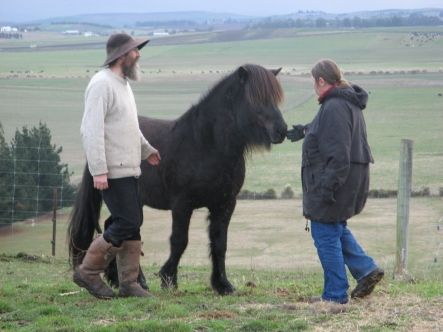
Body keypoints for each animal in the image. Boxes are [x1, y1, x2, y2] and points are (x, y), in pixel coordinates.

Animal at [67, 63, 286, 294]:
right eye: (256, 98)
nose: (282, 130)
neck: (206, 144)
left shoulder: (225, 204)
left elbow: (220, 243)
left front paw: (222, 284)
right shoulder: (182, 204)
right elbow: (180, 241)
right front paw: (168, 279)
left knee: (116, 227)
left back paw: (121, 279)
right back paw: (135, 281)